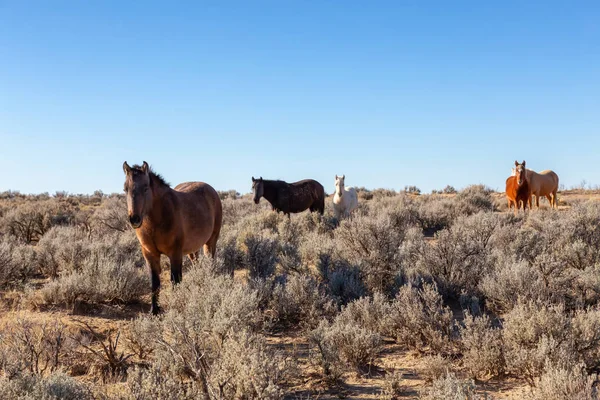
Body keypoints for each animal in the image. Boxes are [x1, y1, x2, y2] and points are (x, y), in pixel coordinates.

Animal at [122, 161, 223, 314]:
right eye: (125, 189)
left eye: (145, 188)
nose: (134, 219)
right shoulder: (150, 254)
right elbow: (154, 282)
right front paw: (154, 311)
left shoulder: (175, 254)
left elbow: (175, 281)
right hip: (193, 249)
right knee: (196, 264)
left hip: (210, 242)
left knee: (209, 263)